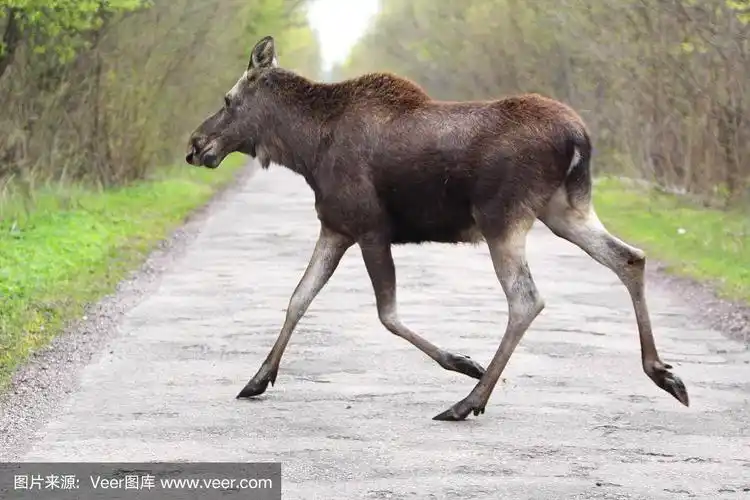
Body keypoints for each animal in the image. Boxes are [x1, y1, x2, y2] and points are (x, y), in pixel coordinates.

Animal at [185, 36, 689, 421]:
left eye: (228, 100)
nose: (195, 144)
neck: (305, 149)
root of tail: (578, 137)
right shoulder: (335, 227)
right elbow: (298, 298)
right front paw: (257, 378)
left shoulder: (370, 228)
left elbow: (386, 314)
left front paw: (464, 363)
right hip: (566, 211)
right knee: (630, 257)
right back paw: (664, 373)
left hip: (502, 218)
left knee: (526, 299)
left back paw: (468, 401)